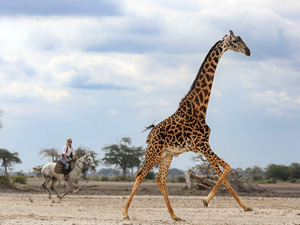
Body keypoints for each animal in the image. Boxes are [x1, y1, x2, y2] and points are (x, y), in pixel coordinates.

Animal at [123, 30, 252, 221]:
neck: (200, 107)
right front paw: (205, 201)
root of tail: (150, 135)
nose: (248, 51)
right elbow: (227, 168)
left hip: (166, 155)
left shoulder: (203, 146)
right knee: (140, 175)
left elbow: (221, 172)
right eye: (236, 41)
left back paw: (174, 215)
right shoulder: (202, 145)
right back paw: (125, 213)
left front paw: (245, 206)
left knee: (160, 180)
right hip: (154, 152)